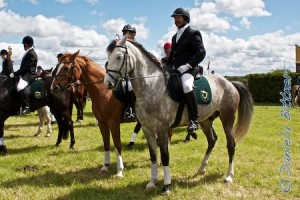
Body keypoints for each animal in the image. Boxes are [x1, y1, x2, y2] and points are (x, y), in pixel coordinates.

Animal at [103, 36, 253, 195]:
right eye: (108, 57)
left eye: (119, 57)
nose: (107, 83)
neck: (151, 85)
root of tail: (229, 83)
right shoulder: (147, 128)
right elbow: (153, 155)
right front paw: (152, 182)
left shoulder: (161, 128)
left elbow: (165, 156)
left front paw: (166, 186)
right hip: (206, 121)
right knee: (212, 140)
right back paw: (201, 168)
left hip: (227, 118)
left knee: (231, 144)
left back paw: (229, 175)